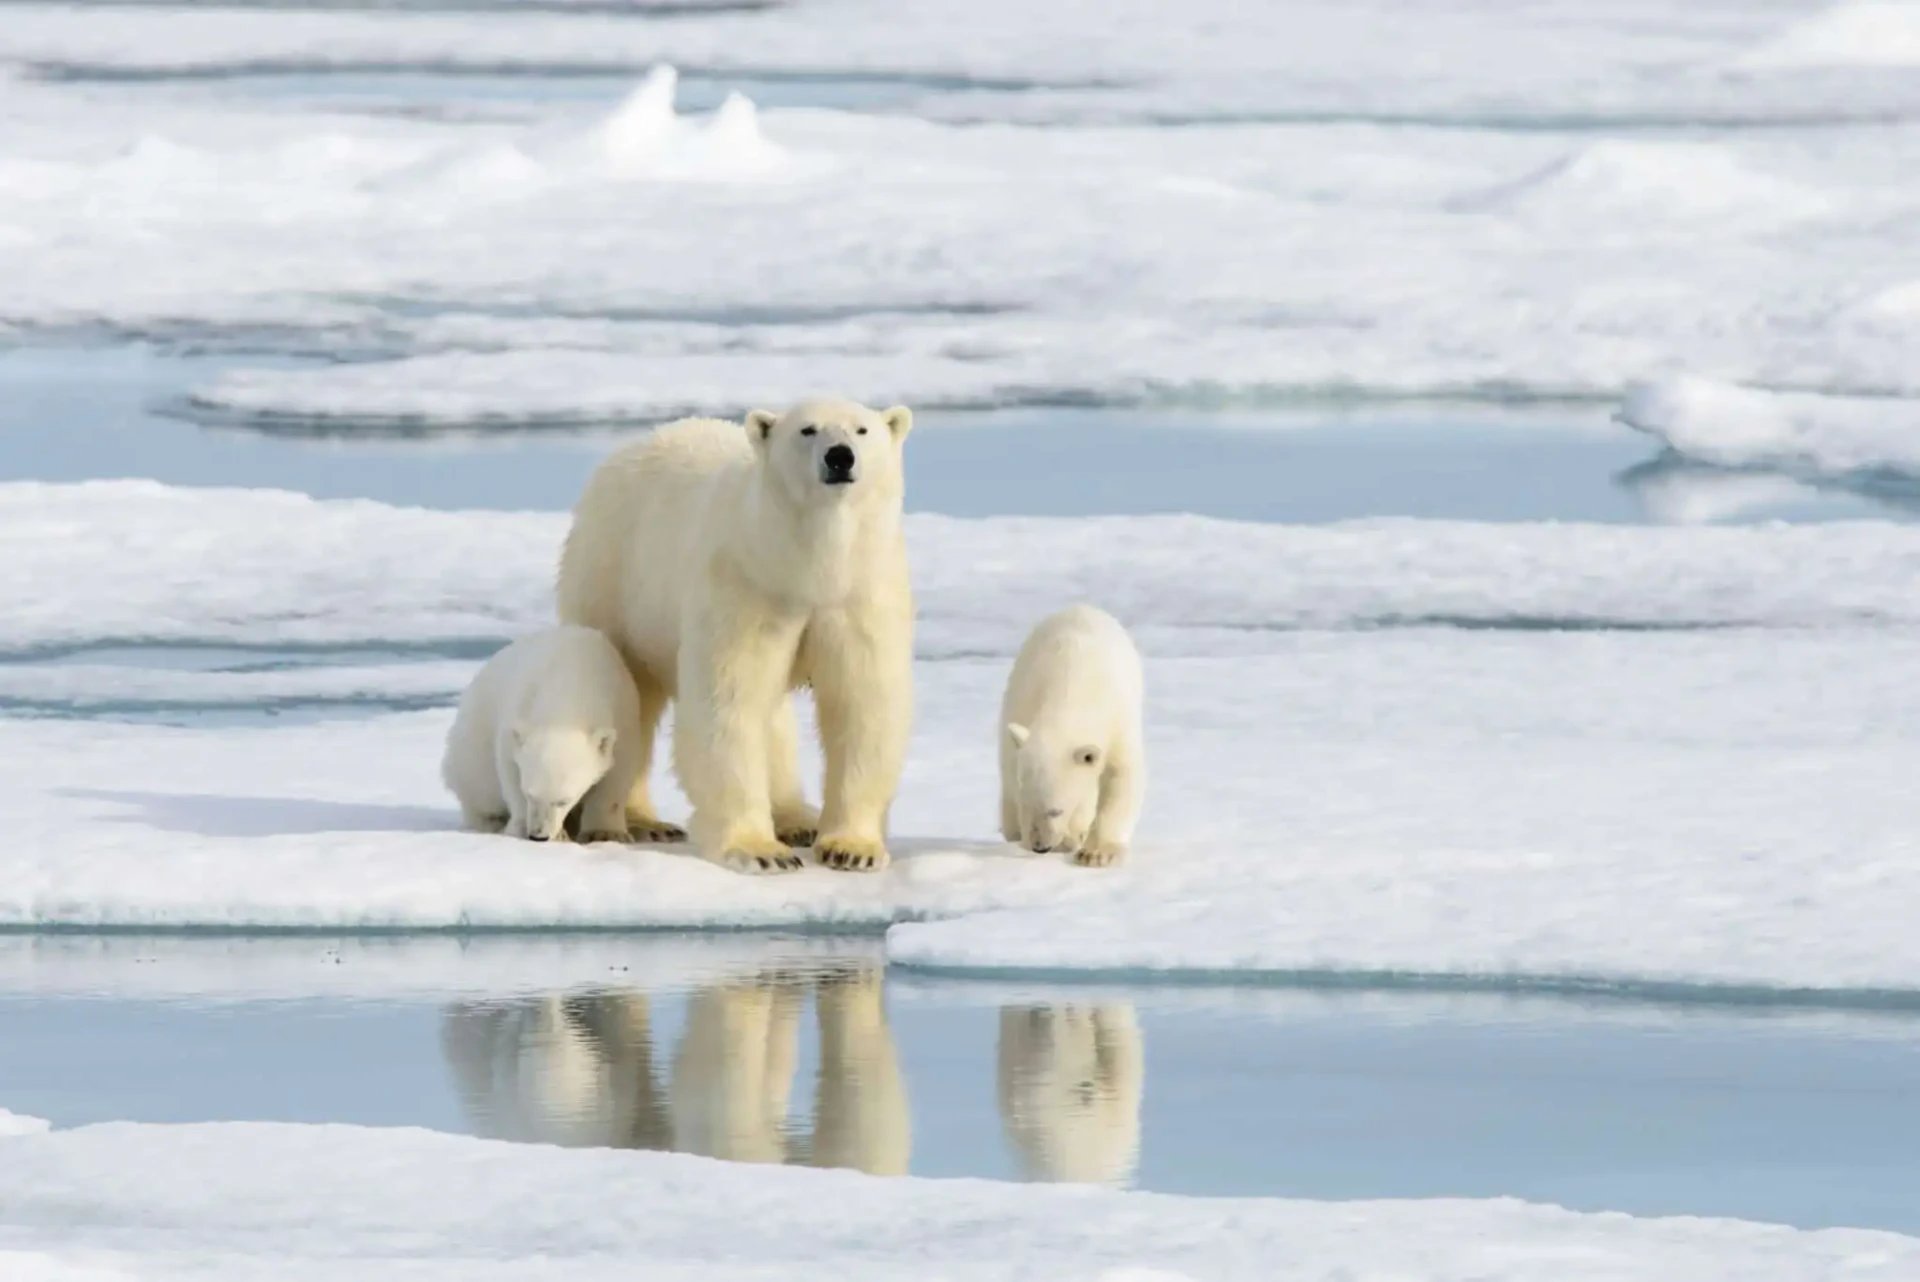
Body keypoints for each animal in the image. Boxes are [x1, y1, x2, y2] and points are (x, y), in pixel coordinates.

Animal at [440, 625, 643, 843]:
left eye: (563, 801)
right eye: (529, 794)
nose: (539, 836)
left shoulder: (623, 711)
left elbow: (618, 772)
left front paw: (605, 832)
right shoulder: (518, 711)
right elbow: (509, 768)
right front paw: (521, 827)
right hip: (471, 750)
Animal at [556, 398, 915, 875]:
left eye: (862, 430)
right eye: (807, 430)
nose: (840, 457)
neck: (806, 570)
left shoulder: (858, 596)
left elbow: (863, 705)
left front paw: (850, 849)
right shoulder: (743, 588)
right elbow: (729, 705)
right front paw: (761, 851)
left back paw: (796, 819)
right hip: (614, 584)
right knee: (630, 697)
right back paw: (637, 821)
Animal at [999, 604, 1145, 867]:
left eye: (1056, 810)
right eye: (1026, 803)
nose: (1040, 847)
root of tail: (1082, 606)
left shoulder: (1118, 721)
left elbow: (1121, 777)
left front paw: (1096, 853)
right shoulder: (1022, 703)